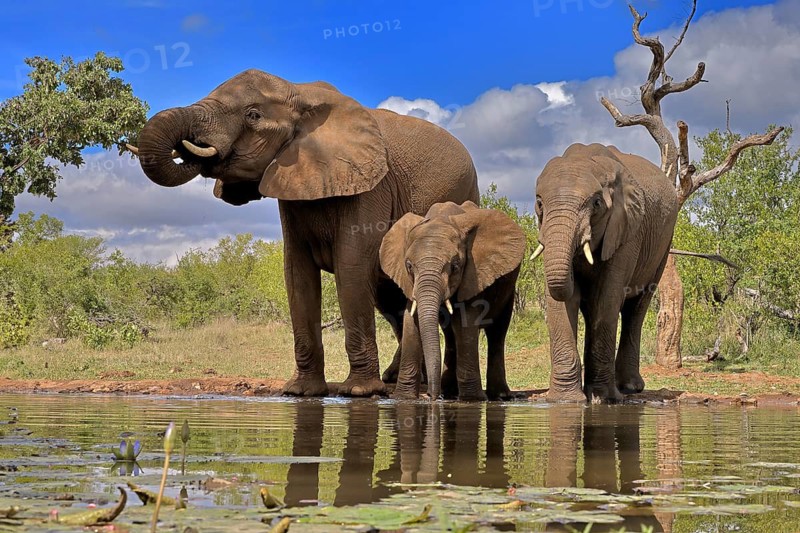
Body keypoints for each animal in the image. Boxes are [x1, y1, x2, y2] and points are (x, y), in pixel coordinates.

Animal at [129, 69, 479, 397]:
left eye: (253, 115)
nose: (192, 149)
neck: (302, 92)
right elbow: (297, 274)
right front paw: (300, 391)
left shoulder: (372, 187)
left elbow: (351, 268)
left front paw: (359, 392)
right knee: (390, 300)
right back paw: (402, 380)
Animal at [380, 201, 526, 400]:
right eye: (409, 266)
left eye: (455, 266)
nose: (432, 397)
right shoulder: (410, 284)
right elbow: (411, 322)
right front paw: (404, 398)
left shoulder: (473, 275)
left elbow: (465, 322)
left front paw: (473, 399)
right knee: (450, 334)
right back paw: (449, 392)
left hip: (509, 288)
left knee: (497, 332)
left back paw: (499, 395)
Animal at [532, 143, 678, 402]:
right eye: (540, 203)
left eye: (597, 204)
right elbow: (561, 302)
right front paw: (565, 400)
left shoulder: (628, 230)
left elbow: (607, 298)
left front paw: (603, 398)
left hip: (663, 245)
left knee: (635, 309)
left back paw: (629, 387)